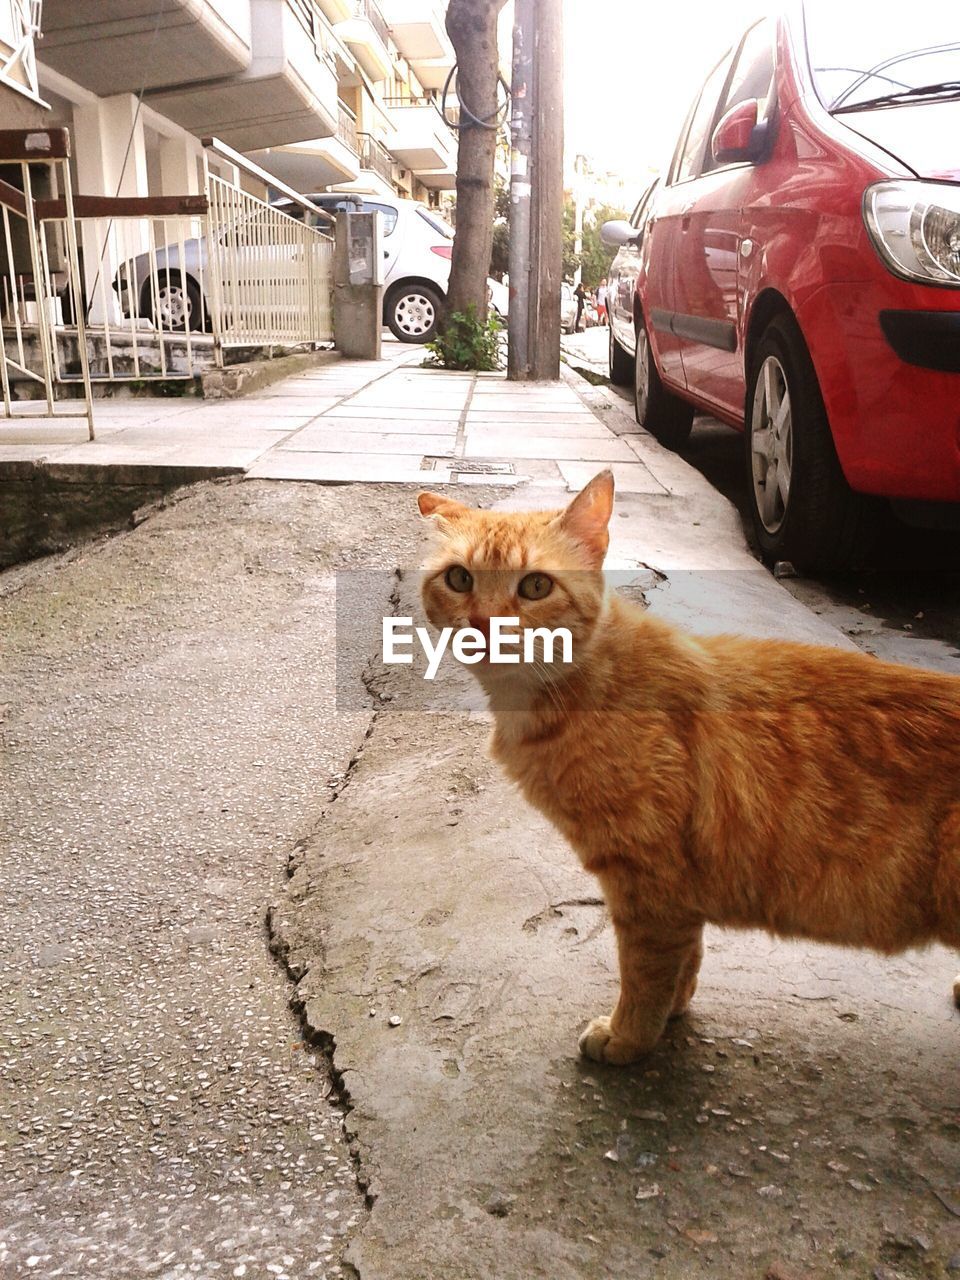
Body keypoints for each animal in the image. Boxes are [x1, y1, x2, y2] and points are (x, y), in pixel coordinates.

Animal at [417, 468, 960, 1059]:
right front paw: (674, 1011)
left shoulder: (648, 879)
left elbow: (644, 971)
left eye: (535, 586)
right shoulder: (678, 887)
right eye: (459, 579)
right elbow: (686, 957)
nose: (481, 623)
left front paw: (629, 1036)